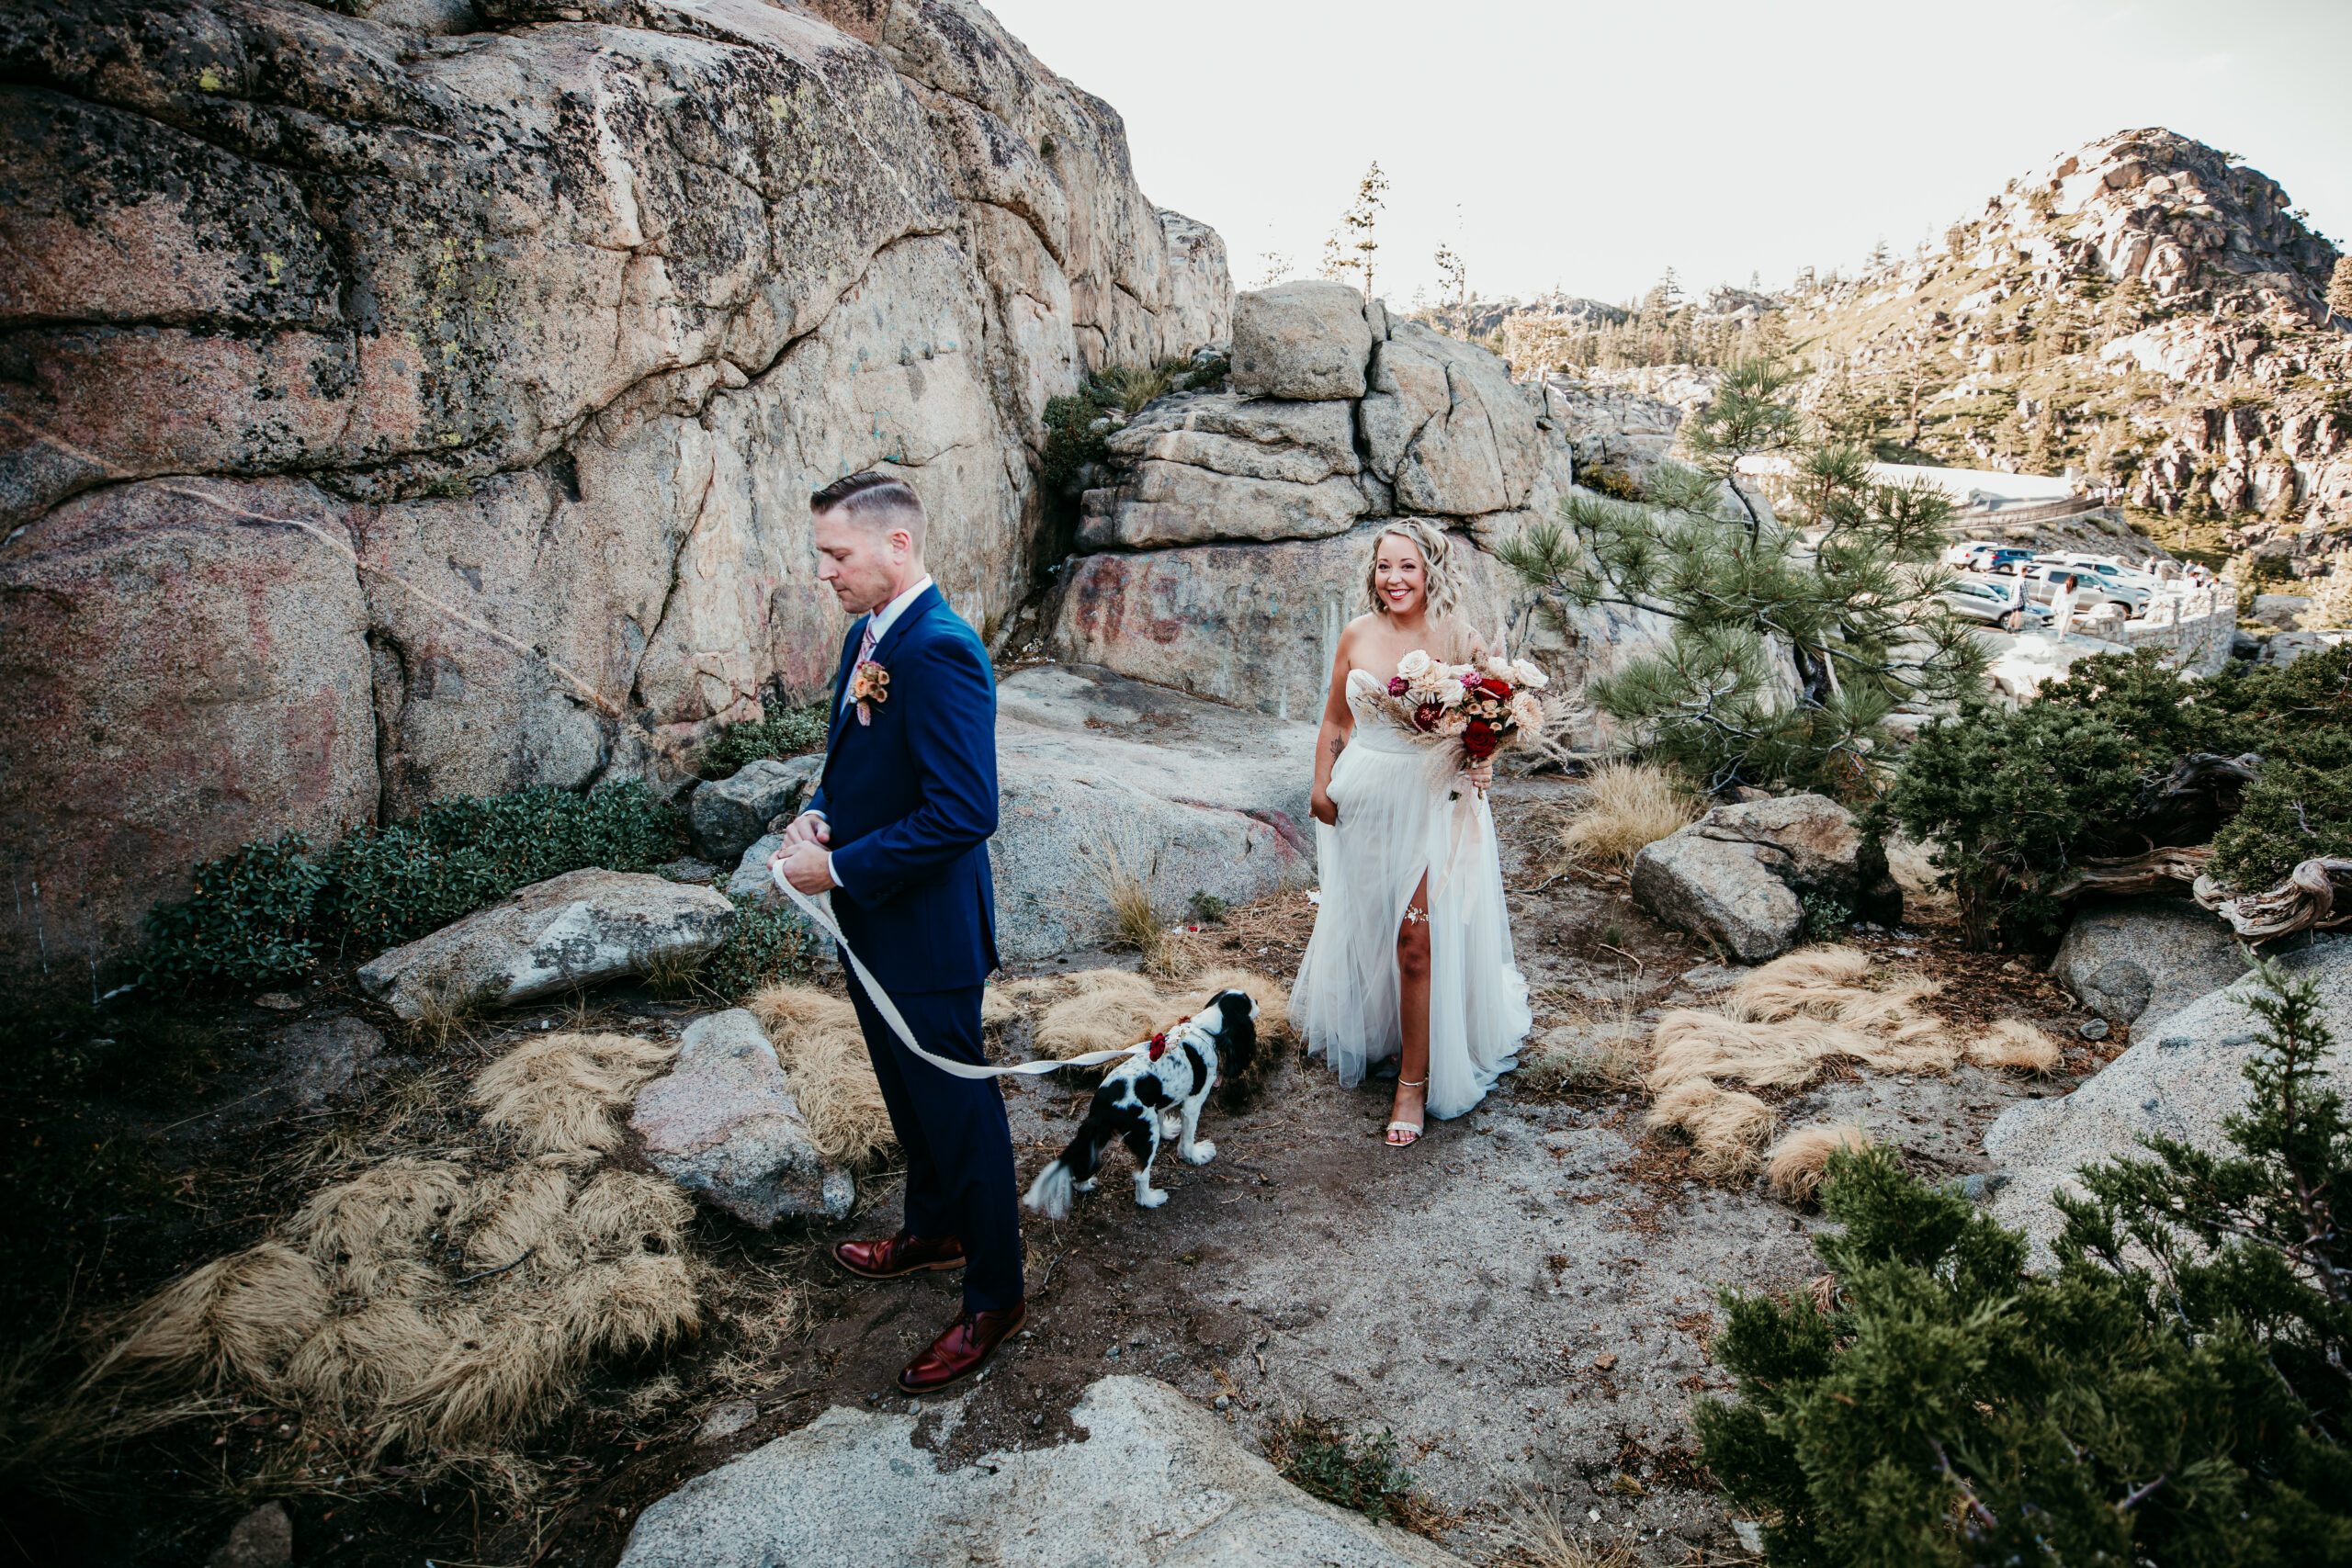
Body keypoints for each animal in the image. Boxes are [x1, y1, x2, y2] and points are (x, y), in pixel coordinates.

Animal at [1021, 987, 1261, 1222]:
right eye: (1248, 1003)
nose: (1258, 1000)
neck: (1202, 1029)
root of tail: (1101, 1110)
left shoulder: (1159, 1102)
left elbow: (1162, 1117)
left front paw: (1168, 1131)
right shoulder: (1194, 1101)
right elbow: (1188, 1138)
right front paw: (1195, 1155)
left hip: (1106, 1134)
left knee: (1083, 1161)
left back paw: (1085, 1184)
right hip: (1145, 1133)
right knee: (1140, 1174)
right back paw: (1150, 1199)